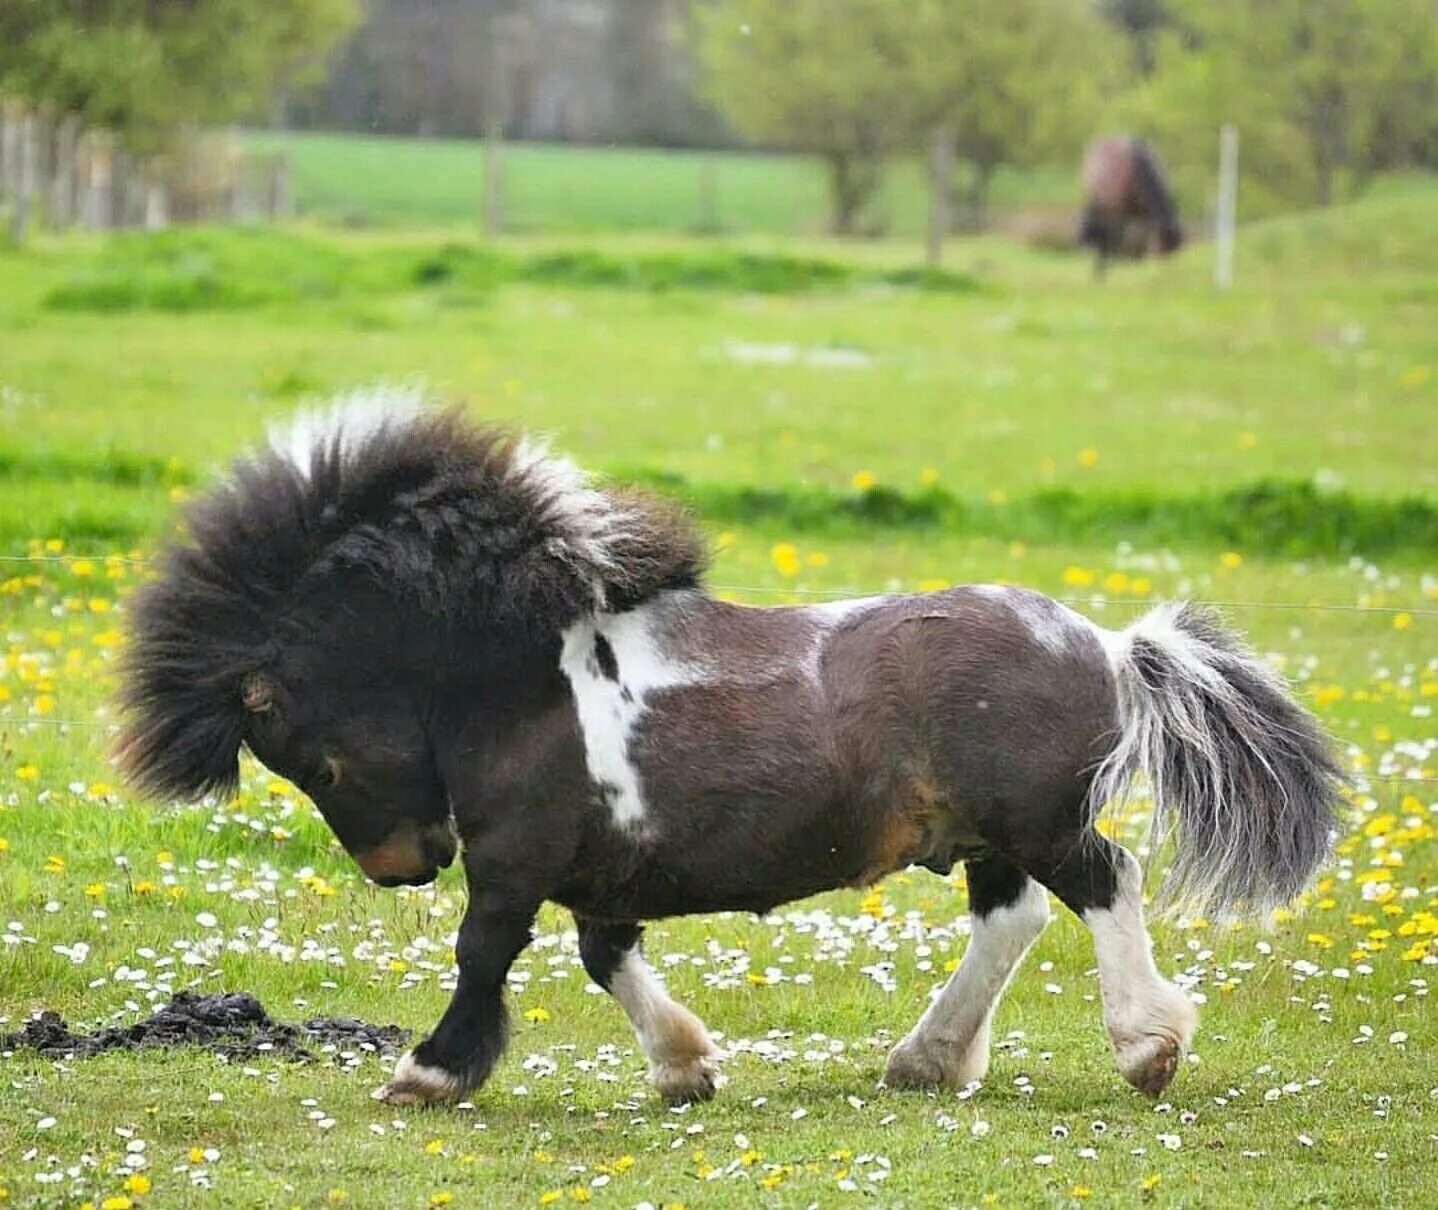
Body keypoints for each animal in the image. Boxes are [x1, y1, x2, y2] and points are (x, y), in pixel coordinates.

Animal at [117, 402, 1340, 1104]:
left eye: (314, 762)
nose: (403, 867)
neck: (516, 677)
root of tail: (1109, 645)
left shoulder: (515, 860)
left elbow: (484, 954)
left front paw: (428, 1072)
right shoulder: (596, 871)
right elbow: (605, 958)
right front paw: (686, 1067)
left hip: (1038, 819)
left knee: (1104, 885)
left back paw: (1145, 1049)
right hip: (989, 834)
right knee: (1014, 919)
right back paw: (925, 1062)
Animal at [1081, 136, 1179, 276]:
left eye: (1174, 251)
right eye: (1164, 248)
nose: (1164, 269)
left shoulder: (1141, 216)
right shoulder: (1117, 214)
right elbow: (1116, 238)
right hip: (1102, 208)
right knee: (1108, 235)